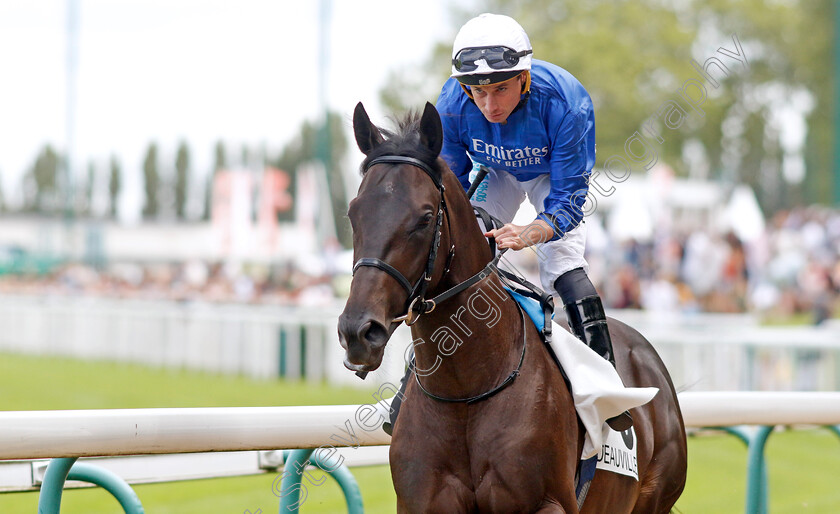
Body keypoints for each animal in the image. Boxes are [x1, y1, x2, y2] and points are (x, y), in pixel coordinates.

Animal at [338, 101, 684, 512]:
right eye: (353, 213)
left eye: (424, 218)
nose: (358, 331)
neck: (465, 390)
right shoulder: (420, 502)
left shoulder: (548, 501)